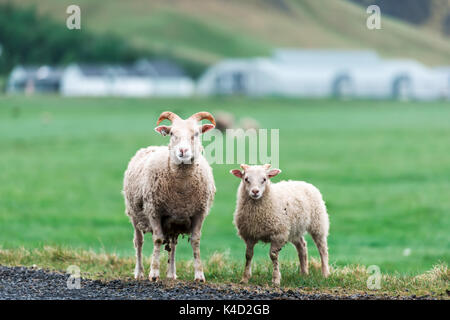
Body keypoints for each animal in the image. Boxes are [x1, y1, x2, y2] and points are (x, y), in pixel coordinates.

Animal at [122, 111, 215, 282]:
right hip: (134, 214)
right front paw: (154, 273)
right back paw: (139, 272)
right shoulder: (154, 211)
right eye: (172, 133)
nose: (183, 151)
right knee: (139, 242)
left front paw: (199, 275)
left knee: (172, 244)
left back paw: (171, 273)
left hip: (174, 221)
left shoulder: (199, 212)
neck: (182, 190)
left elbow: (195, 241)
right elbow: (158, 239)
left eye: (196, 134)